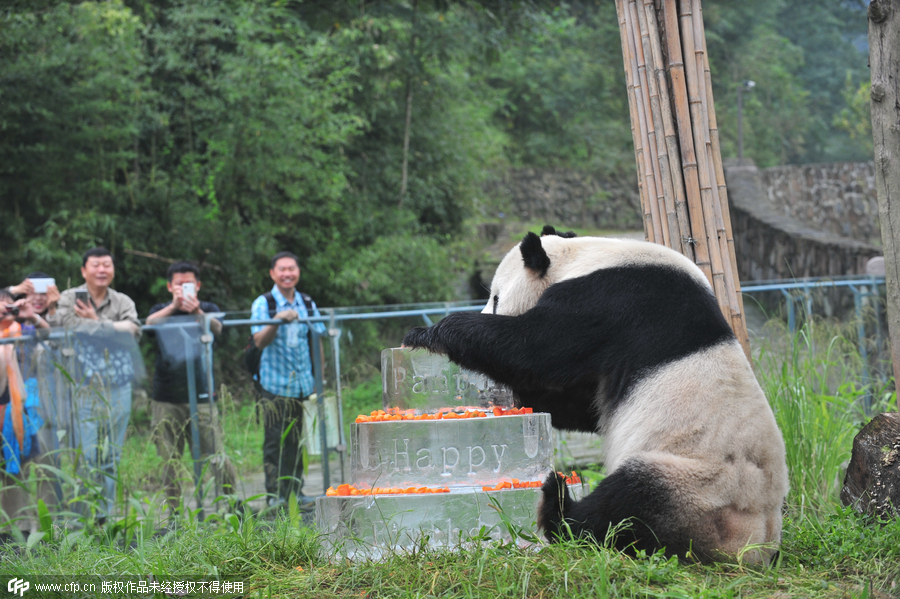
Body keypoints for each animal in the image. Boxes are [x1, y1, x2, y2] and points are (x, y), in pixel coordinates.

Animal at [402, 227, 788, 564]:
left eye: (496, 298)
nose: (488, 307)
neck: (583, 257)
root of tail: (755, 547)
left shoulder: (607, 302)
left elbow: (535, 349)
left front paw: (432, 332)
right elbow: (582, 406)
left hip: (700, 488)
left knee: (626, 502)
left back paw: (557, 505)